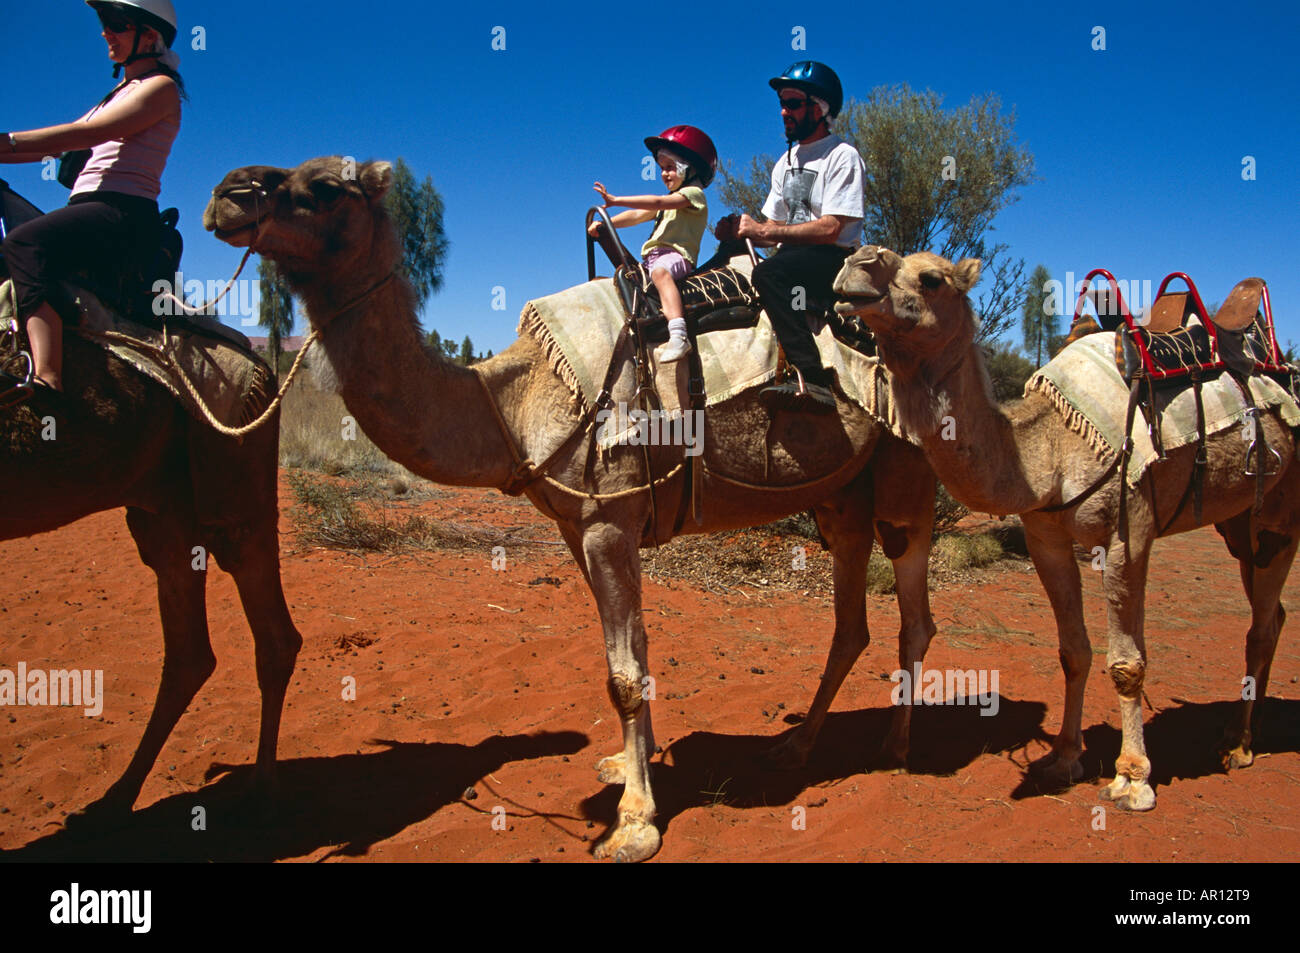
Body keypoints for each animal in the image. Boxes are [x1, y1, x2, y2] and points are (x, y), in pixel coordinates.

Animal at [1, 321, 299, 826]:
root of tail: (264, 372)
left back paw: (257, 797)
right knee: (193, 652)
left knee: (267, 635)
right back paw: (114, 801)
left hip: (230, 484)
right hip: (165, 512)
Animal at [197, 157, 941, 863]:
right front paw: (627, 767)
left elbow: (622, 674)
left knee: (915, 615)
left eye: (325, 186)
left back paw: (898, 748)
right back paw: (795, 747)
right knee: (851, 625)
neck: (516, 398)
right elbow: (633, 652)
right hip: (843, 497)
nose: (227, 194)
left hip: (907, 474)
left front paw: (635, 823)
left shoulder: (610, 520)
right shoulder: (574, 525)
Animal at [832, 245, 1300, 811]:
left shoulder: (1128, 533)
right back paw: (1241, 732)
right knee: (1271, 614)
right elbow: (1073, 651)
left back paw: (1238, 745)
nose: (856, 264)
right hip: (1241, 520)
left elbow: (1127, 662)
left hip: (1283, 508)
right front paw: (1064, 758)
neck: (1050, 450)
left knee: (1261, 625)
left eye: (932, 279)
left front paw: (1133, 779)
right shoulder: (1046, 537)